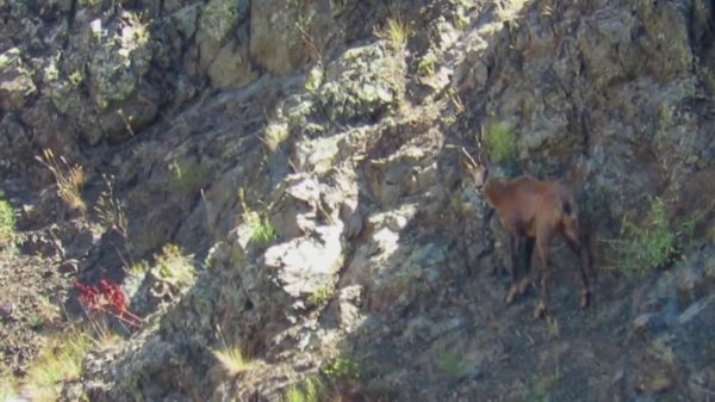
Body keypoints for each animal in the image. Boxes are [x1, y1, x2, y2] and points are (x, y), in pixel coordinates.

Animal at [462, 146, 596, 318]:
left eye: (486, 171)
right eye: (472, 173)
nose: (478, 187)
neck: (504, 194)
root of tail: (563, 201)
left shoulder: (514, 232)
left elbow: (515, 258)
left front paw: (512, 293)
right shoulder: (529, 234)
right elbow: (526, 257)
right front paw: (524, 285)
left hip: (544, 235)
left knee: (548, 266)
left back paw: (541, 308)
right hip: (568, 226)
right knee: (582, 242)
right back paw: (586, 294)